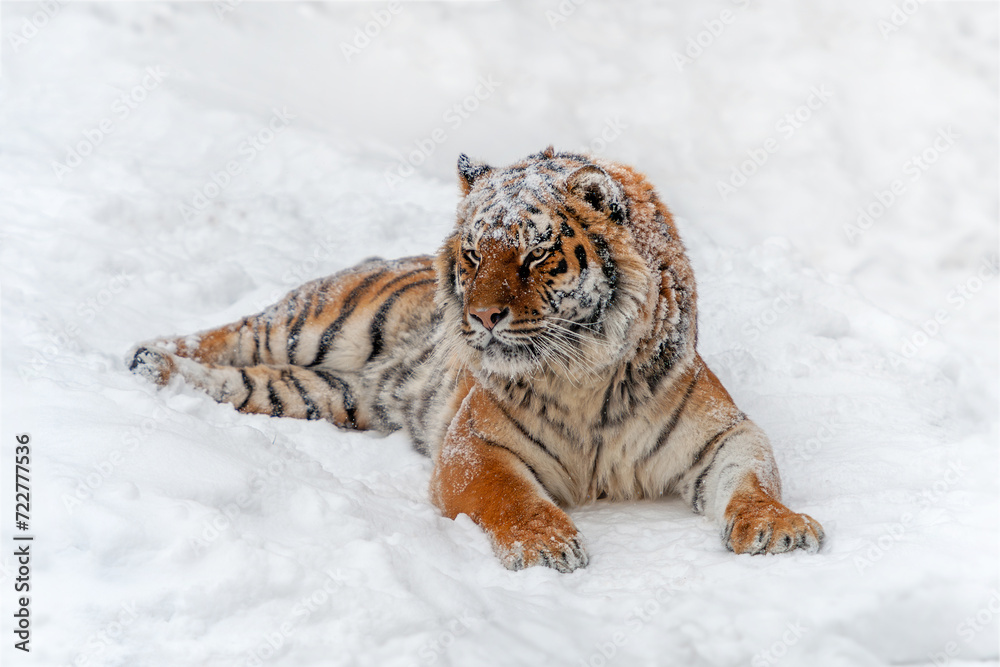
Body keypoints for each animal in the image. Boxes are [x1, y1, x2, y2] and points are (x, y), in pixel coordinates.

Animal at [128, 147, 824, 573]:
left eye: (536, 254)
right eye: (472, 253)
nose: (482, 317)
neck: (586, 376)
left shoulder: (724, 434)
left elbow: (753, 481)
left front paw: (779, 529)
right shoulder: (475, 445)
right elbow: (509, 497)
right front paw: (547, 546)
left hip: (320, 392)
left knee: (244, 381)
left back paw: (160, 373)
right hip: (318, 321)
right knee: (232, 331)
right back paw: (146, 355)